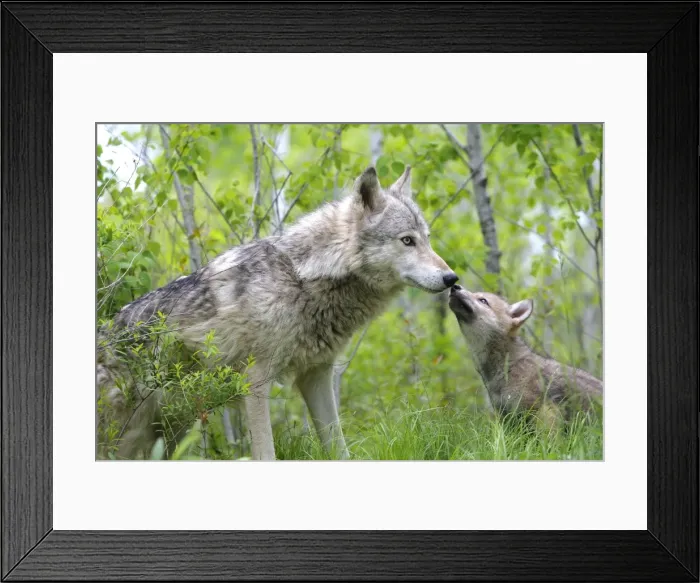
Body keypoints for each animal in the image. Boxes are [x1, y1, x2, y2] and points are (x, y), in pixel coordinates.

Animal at [98, 166, 458, 460]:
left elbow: (338, 448)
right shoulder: (255, 381)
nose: (451, 278)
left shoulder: (316, 376)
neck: (304, 277)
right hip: (130, 430)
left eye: (427, 239)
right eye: (407, 241)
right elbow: (266, 454)